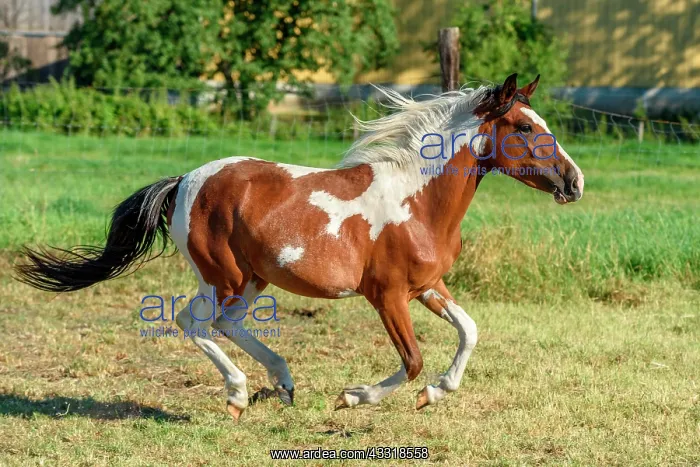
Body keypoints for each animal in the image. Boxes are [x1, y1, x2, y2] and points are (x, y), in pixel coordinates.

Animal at [14, 73, 584, 420]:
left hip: (252, 277)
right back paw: (240, 394)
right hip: (223, 276)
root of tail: (183, 181)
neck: (417, 199)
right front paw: (353, 396)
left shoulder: (427, 286)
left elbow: (469, 330)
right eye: (526, 127)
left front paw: (434, 394)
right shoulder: (387, 295)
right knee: (194, 322)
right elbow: (414, 358)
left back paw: (282, 383)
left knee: (224, 324)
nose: (574, 182)